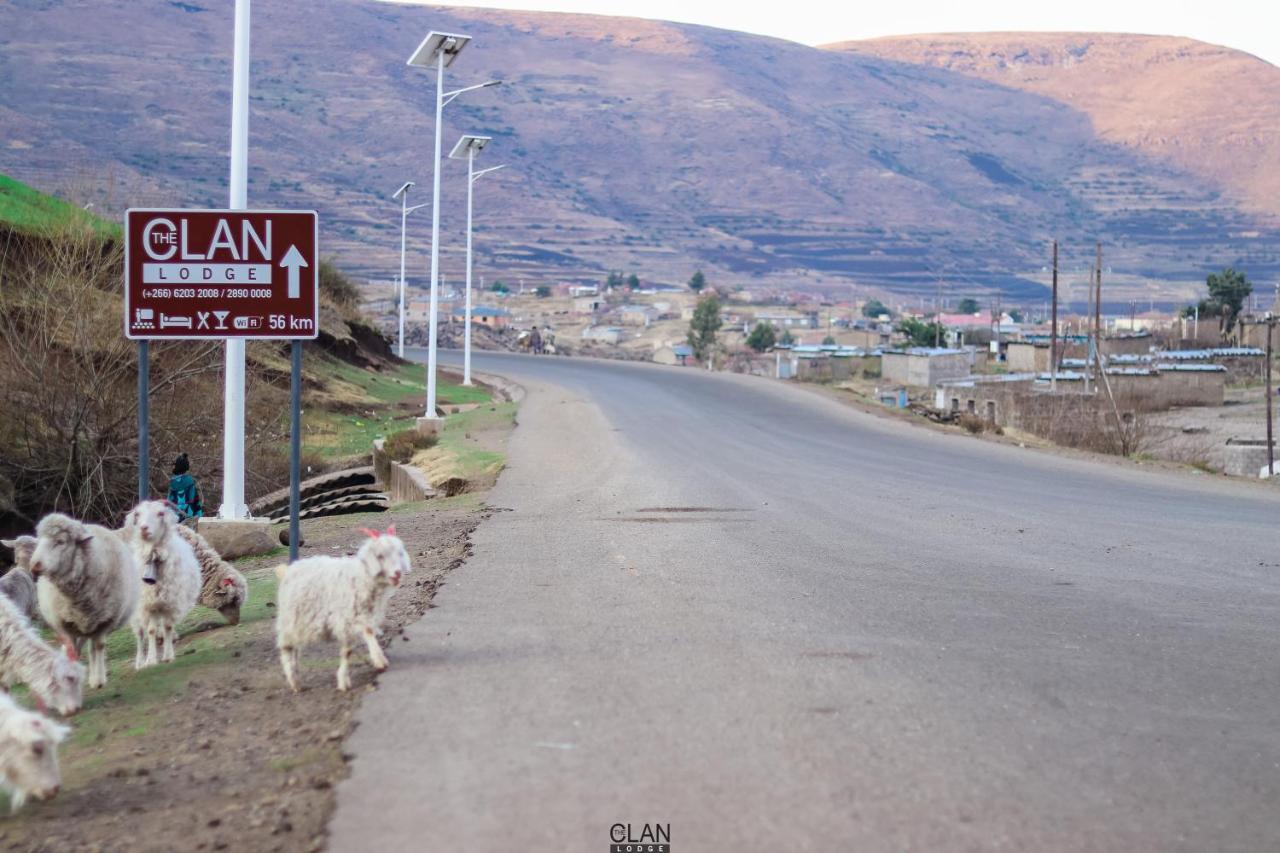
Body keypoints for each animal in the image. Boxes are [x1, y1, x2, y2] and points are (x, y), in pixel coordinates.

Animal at [30, 512, 141, 686]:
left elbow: (99, 646)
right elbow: (72, 651)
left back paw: (95, 678)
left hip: (93, 625)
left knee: (92, 648)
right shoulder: (65, 624)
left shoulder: (105, 621)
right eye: (39, 540)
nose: (34, 566)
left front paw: (98, 680)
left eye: (60, 541)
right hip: (80, 625)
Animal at [121, 499, 200, 671]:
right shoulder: (148, 606)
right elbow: (150, 631)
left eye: (160, 513)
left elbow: (168, 627)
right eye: (138, 514)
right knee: (140, 635)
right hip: (138, 613)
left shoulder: (170, 603)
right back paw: (139, 662)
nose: (144, 528)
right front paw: (150, 660)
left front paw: (168, 656)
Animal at [277, 525, 412, 691]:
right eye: (380, 556)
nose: (397, 573)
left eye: (399, 553)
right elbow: (366, 633)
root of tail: (289, 569)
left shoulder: (359, 617)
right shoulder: (347, 617)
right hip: (292, 618)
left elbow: (348, 650)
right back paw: (293, 679)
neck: (361, 577)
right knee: (287, 647)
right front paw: (379, 659)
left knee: (295, 648)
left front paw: (343, 679)